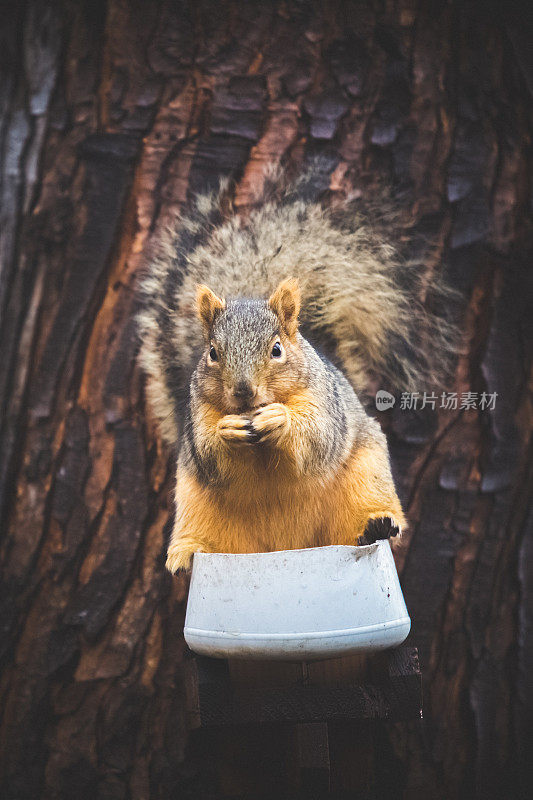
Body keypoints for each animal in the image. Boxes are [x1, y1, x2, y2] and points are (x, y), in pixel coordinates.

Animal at [136, 156, 454, 572]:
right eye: (213, 353)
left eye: (276, 349)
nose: (243, 391)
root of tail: (287, 547)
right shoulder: (198, 416)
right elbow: (208, 450)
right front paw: (227, 430)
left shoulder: (322, 402)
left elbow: (315, 435)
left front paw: (279, 419)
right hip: (195, 503)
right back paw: (186, 554)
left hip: (364, 475)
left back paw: (376, 524)